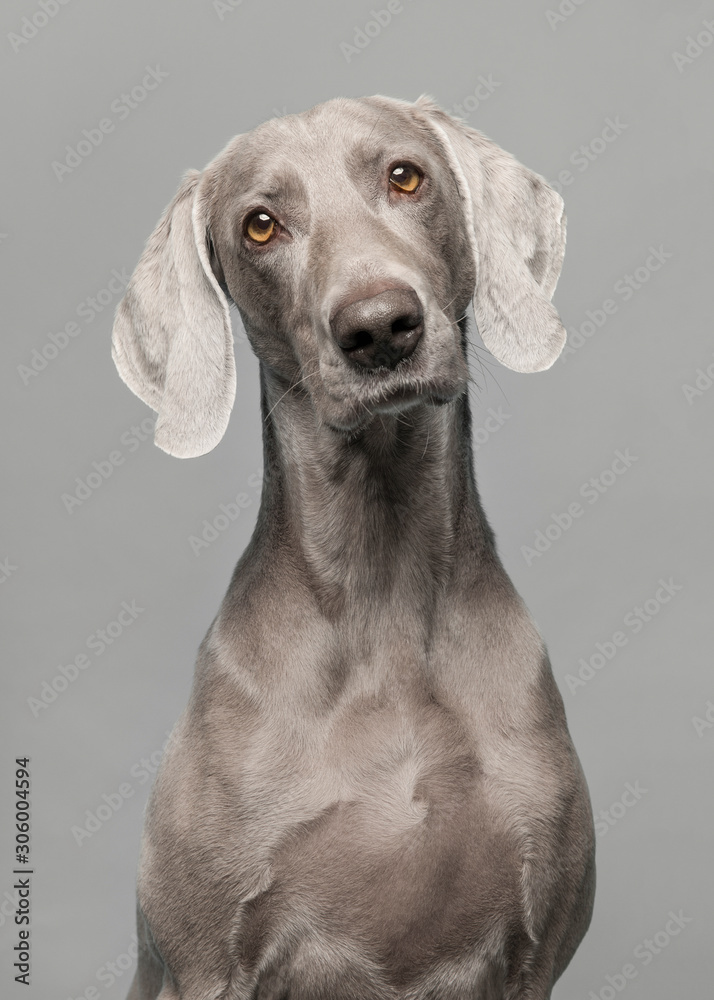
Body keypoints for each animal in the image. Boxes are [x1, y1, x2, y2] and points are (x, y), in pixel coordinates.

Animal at [112, 95, 596, 1000]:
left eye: (405, 176)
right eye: (260, 225)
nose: (378, 328)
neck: (384, 593)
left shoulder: (536, 956)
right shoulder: (207, 963)